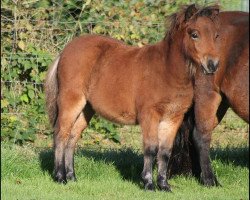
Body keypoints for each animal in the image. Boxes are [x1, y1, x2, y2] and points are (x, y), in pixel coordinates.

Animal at [45, 3, 221, 191]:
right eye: (194, 34)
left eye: (216, 35)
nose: (212, 65)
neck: (167, 71)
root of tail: (65, 51)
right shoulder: (149, 115)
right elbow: (151, 148)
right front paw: (148, 183)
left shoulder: (173, 118)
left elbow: (165, 152)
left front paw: (164, 185)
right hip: (71, 102)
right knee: (61, 135)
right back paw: (60, 177)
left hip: (87, 109)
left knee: (72, 138)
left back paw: (72, 177)